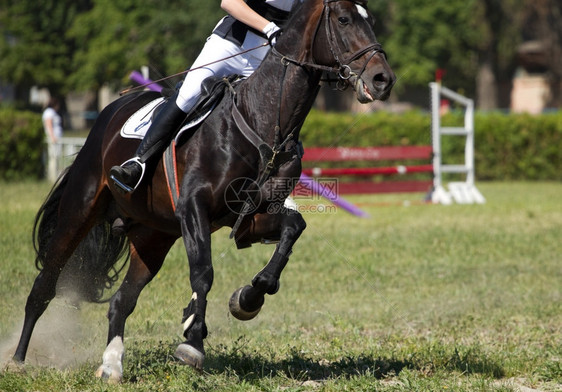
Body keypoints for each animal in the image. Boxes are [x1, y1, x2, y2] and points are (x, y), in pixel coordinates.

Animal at [10, 0, 392, 382]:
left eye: (370, 19)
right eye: (343, 19)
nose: (383, 80)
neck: (263, 119)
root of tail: (109, 113)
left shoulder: (250, 219)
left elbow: (293, 229)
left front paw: (247, 299)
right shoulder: (194, 208)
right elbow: (203, 272)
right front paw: (193, 341)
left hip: (153, 235)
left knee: (122, 300)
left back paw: (112, 364)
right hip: (81, 210)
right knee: (44, 284)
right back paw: (17, 359)